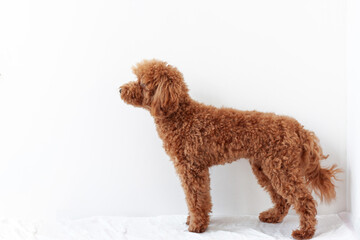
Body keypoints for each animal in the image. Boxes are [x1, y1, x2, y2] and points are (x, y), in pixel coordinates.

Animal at [119, 59, 342, 239]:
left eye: (142, 82)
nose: (120, 89)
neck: (180, 115)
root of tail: (298, 128)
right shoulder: (197, 169)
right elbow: (200, 198)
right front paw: (195, 220)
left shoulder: (191, 168)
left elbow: (194, 197)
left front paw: (196, 226)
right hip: (265, 168)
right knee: (283, 199)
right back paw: (272, 216)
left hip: (281, 168)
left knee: (304, 199)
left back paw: (305, 231)